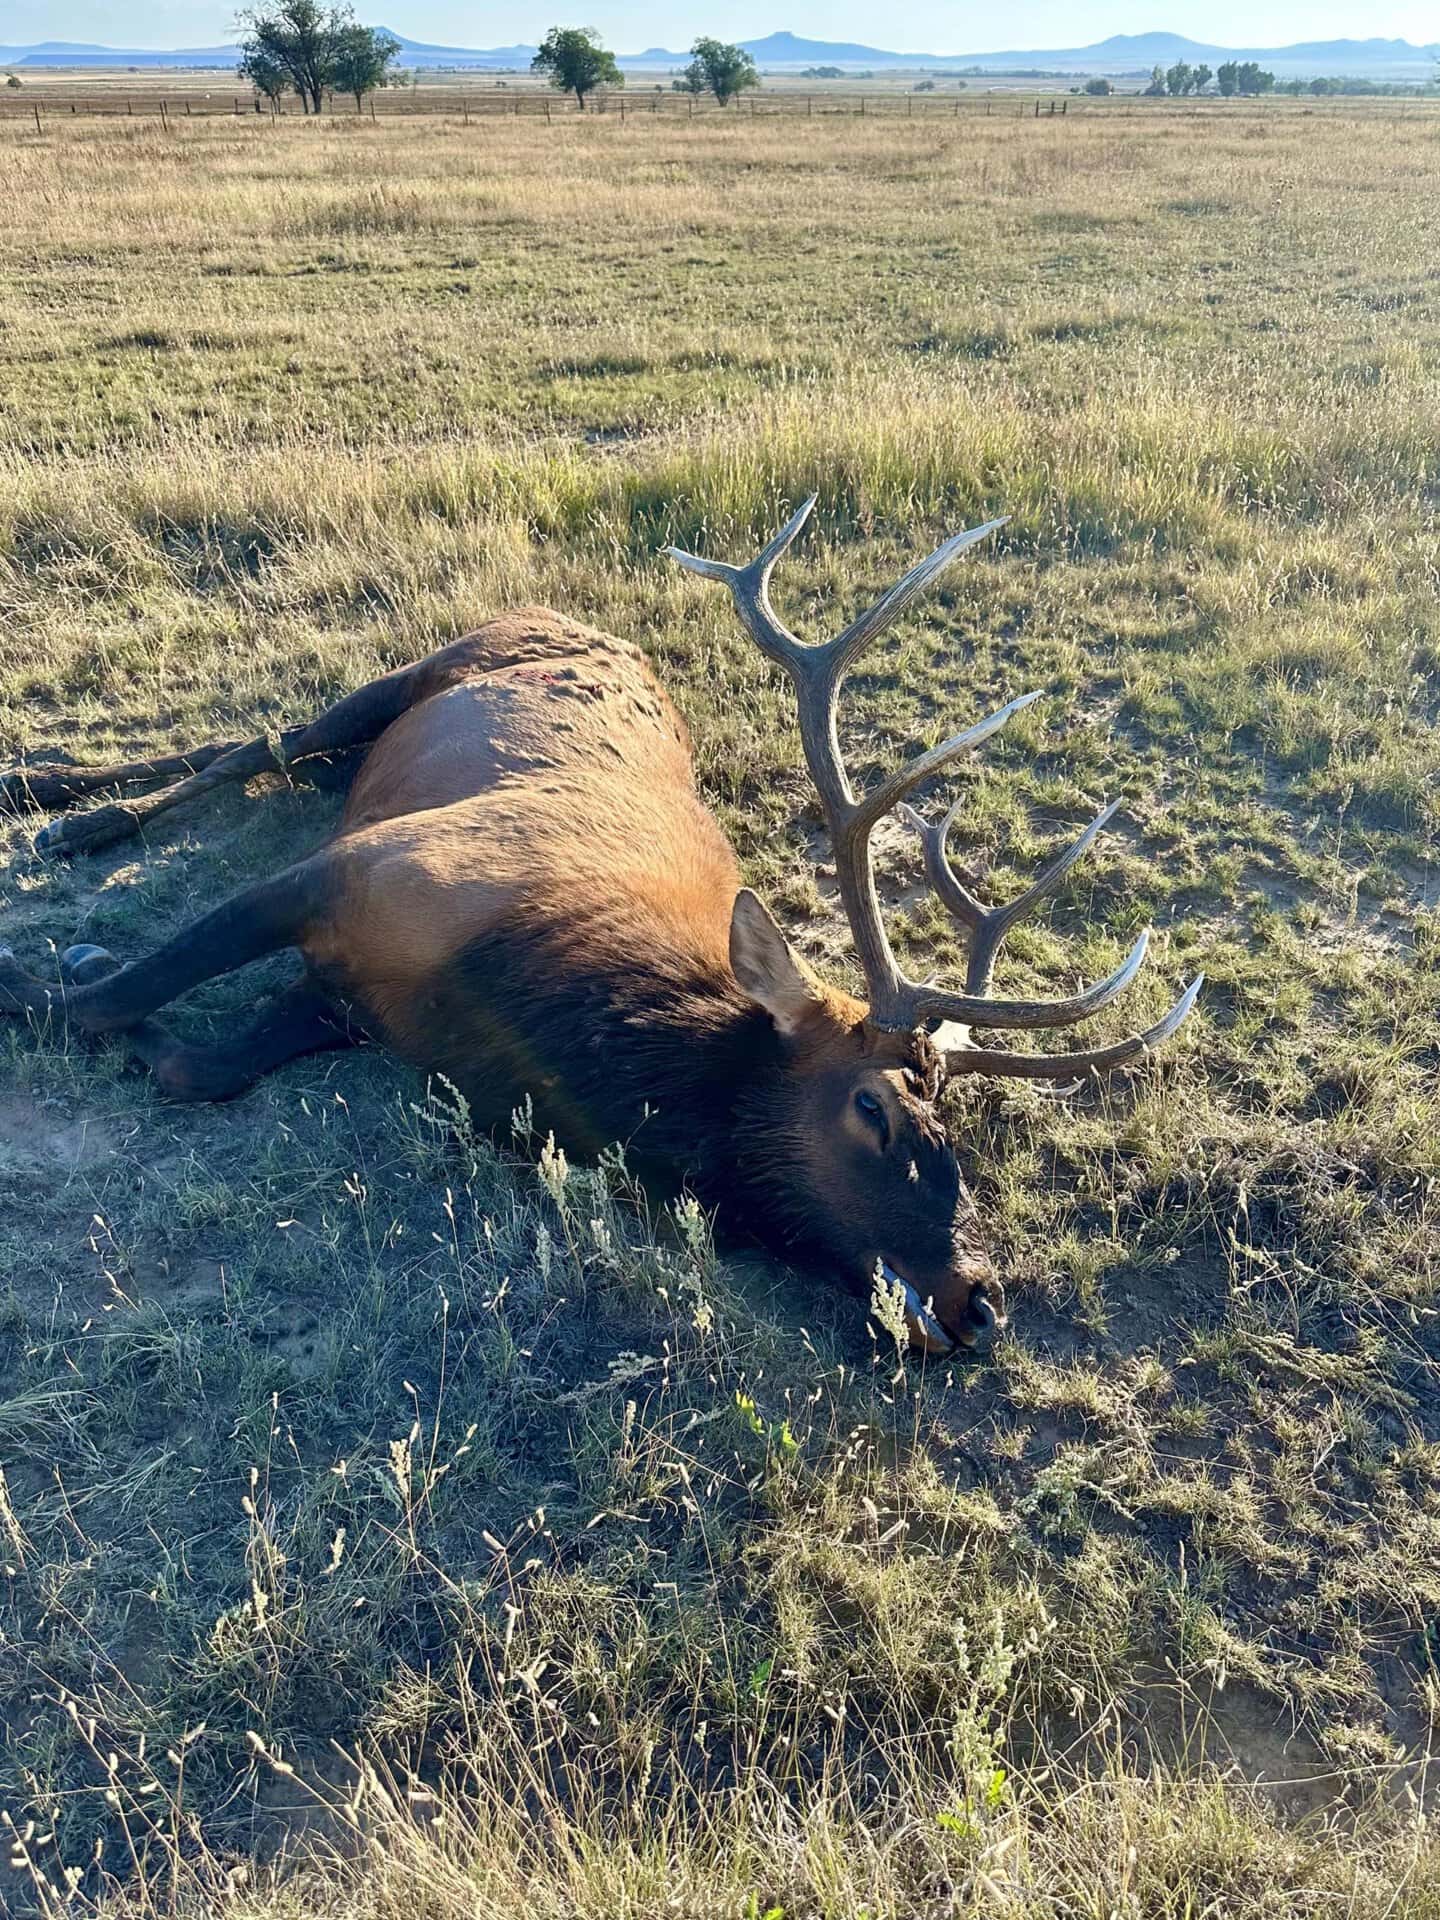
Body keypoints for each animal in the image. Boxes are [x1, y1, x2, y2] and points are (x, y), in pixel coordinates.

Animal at [0, 503, 1201, 1354]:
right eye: (876, 1107)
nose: (982, 1300)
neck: (510, 1011)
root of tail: (574, 617)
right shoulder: (357, 869)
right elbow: (106, 999)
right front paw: (56, 958)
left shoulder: (348, 1002)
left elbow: (191, 1063)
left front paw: (102, 974)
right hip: (418, 669)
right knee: (262, 739)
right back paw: (57, 803)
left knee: (255, 751)